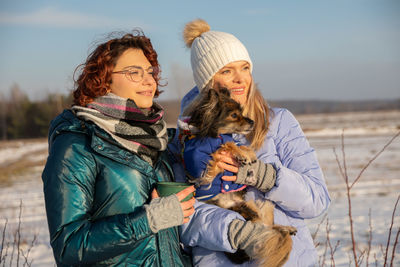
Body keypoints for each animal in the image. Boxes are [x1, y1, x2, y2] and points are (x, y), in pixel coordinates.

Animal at [181, 89, 296, 267]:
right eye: (234, 115)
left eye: (242, 113)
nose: (252, 121)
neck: (215, 133)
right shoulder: (206, 165)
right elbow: (228, 145)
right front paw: (240, 154)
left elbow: (240, 145)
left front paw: (248, 154)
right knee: (263, 228)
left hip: (264, 205)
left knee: (269, 226)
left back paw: (286, 229)